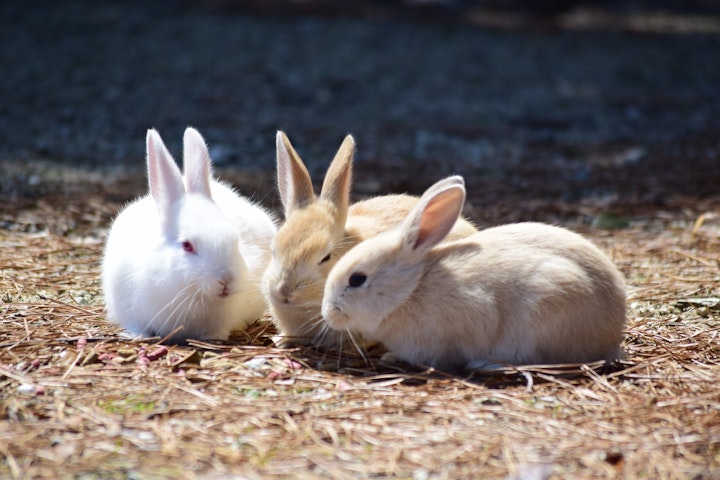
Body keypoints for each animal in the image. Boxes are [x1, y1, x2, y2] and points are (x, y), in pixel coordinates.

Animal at [102, 127, 278, 344]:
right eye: (187, 245)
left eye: (236, 241)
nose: (226, 280)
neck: (194, 294)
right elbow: (137, 326)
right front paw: (137, 336)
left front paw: (216, 337)